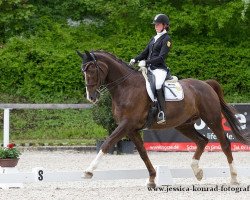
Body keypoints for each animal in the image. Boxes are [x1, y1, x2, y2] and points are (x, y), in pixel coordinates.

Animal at [77, 50, 249, 188]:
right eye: (83, 71)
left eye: (92, 70)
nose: (91, 97)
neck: (125, 87)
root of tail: (206, 84)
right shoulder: (131, 129)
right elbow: (143, 153)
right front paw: (152, 179)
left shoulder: (126, 125)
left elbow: (107, 143)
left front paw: (88, 171)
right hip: (183, 124)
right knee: (202, 141)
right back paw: (197, 171)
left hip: (212, 118)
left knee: (224, 144)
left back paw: (234, 178)